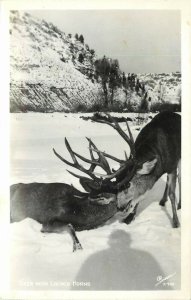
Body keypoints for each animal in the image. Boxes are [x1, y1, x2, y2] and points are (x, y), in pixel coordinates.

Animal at [10, 110, 181, 251]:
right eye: (120, 188)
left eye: (126, 185)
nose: (123, 207)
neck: (82, 212)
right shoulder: (48, 221)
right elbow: (69, 226)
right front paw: (78, 247)